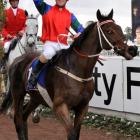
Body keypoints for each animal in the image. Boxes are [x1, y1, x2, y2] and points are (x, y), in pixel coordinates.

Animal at [0, 9, 138, 139]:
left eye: (119, 28)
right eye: (109, 31)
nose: (132, 49)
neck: (77, 69)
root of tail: (18, 60)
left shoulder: (82, 107)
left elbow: (76, 134)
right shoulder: (60, 106)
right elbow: (71, 134)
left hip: (36, 97)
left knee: (24, 116)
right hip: (18, 94)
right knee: (18, 120)